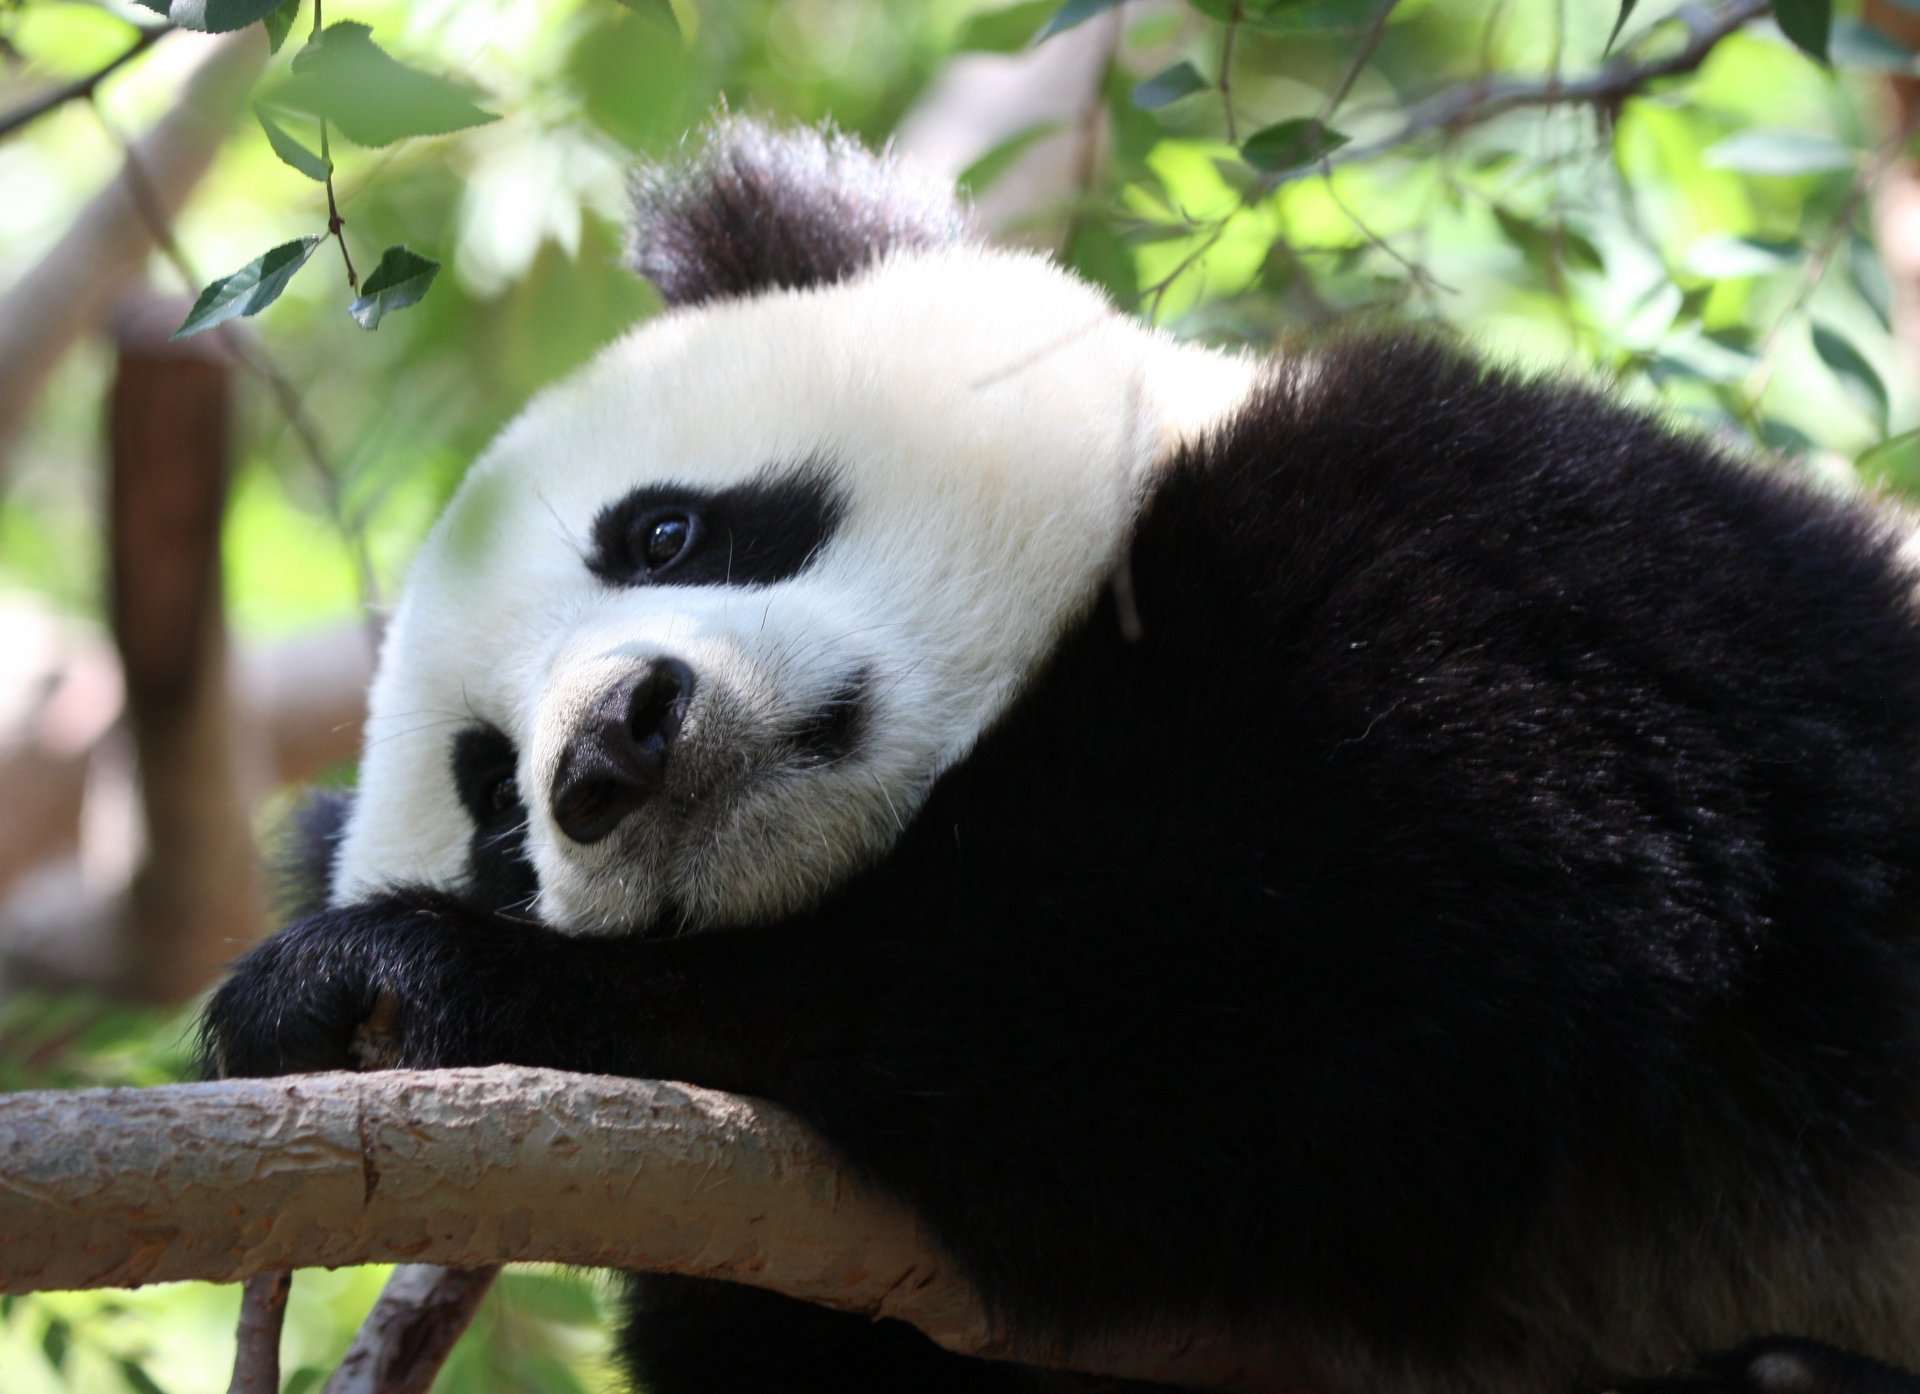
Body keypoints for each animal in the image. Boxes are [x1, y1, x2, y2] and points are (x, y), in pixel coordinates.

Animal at [206, 120, 1920, 1394]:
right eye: (497, 809)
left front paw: (396, 980)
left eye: (667, 531)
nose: (614, 749)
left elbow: (1317, 961)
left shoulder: (1502, 558)